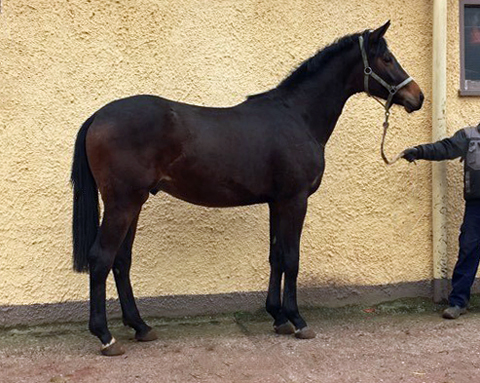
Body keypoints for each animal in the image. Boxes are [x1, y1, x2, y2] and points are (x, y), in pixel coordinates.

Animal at [71, 21, 424, 356]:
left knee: (121, 261)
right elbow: (292, 258)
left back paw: (141, 327)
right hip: (123, 203)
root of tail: (97, 116)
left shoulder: (276, 202)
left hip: (134, 202)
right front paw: (298, 320)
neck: (297, 116)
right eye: (387, 58)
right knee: (101, 259)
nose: (417, 97)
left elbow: (276, 256)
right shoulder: (295, 200)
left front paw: (278, 317)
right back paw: (106, 337)